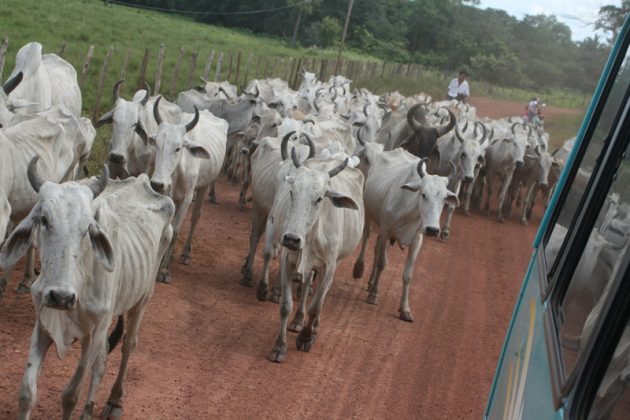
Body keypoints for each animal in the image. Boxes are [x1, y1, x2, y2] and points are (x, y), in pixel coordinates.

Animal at [350, 148, 460, 322]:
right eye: (423, 194)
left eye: (444, 199)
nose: (433, 229)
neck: (410, 212)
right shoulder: (386, 230)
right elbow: (382, 263)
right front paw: (374, 294)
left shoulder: (417, 240)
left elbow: (407, 275)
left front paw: (405, 309)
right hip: (369, 213)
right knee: (367, 237)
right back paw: (360, 270)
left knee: (376, 250)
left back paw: (371, 282)